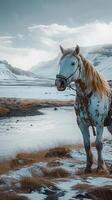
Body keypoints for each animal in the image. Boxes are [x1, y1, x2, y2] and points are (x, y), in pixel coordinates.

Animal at [55, 45, 112, 173]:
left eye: (73, 63)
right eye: (60, 63)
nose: (59, 83)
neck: (88, 96)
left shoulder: (99, 123)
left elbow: (98, 144)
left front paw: (100, 167)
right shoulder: (81, 123)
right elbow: (86, 145)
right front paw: (88, 167)